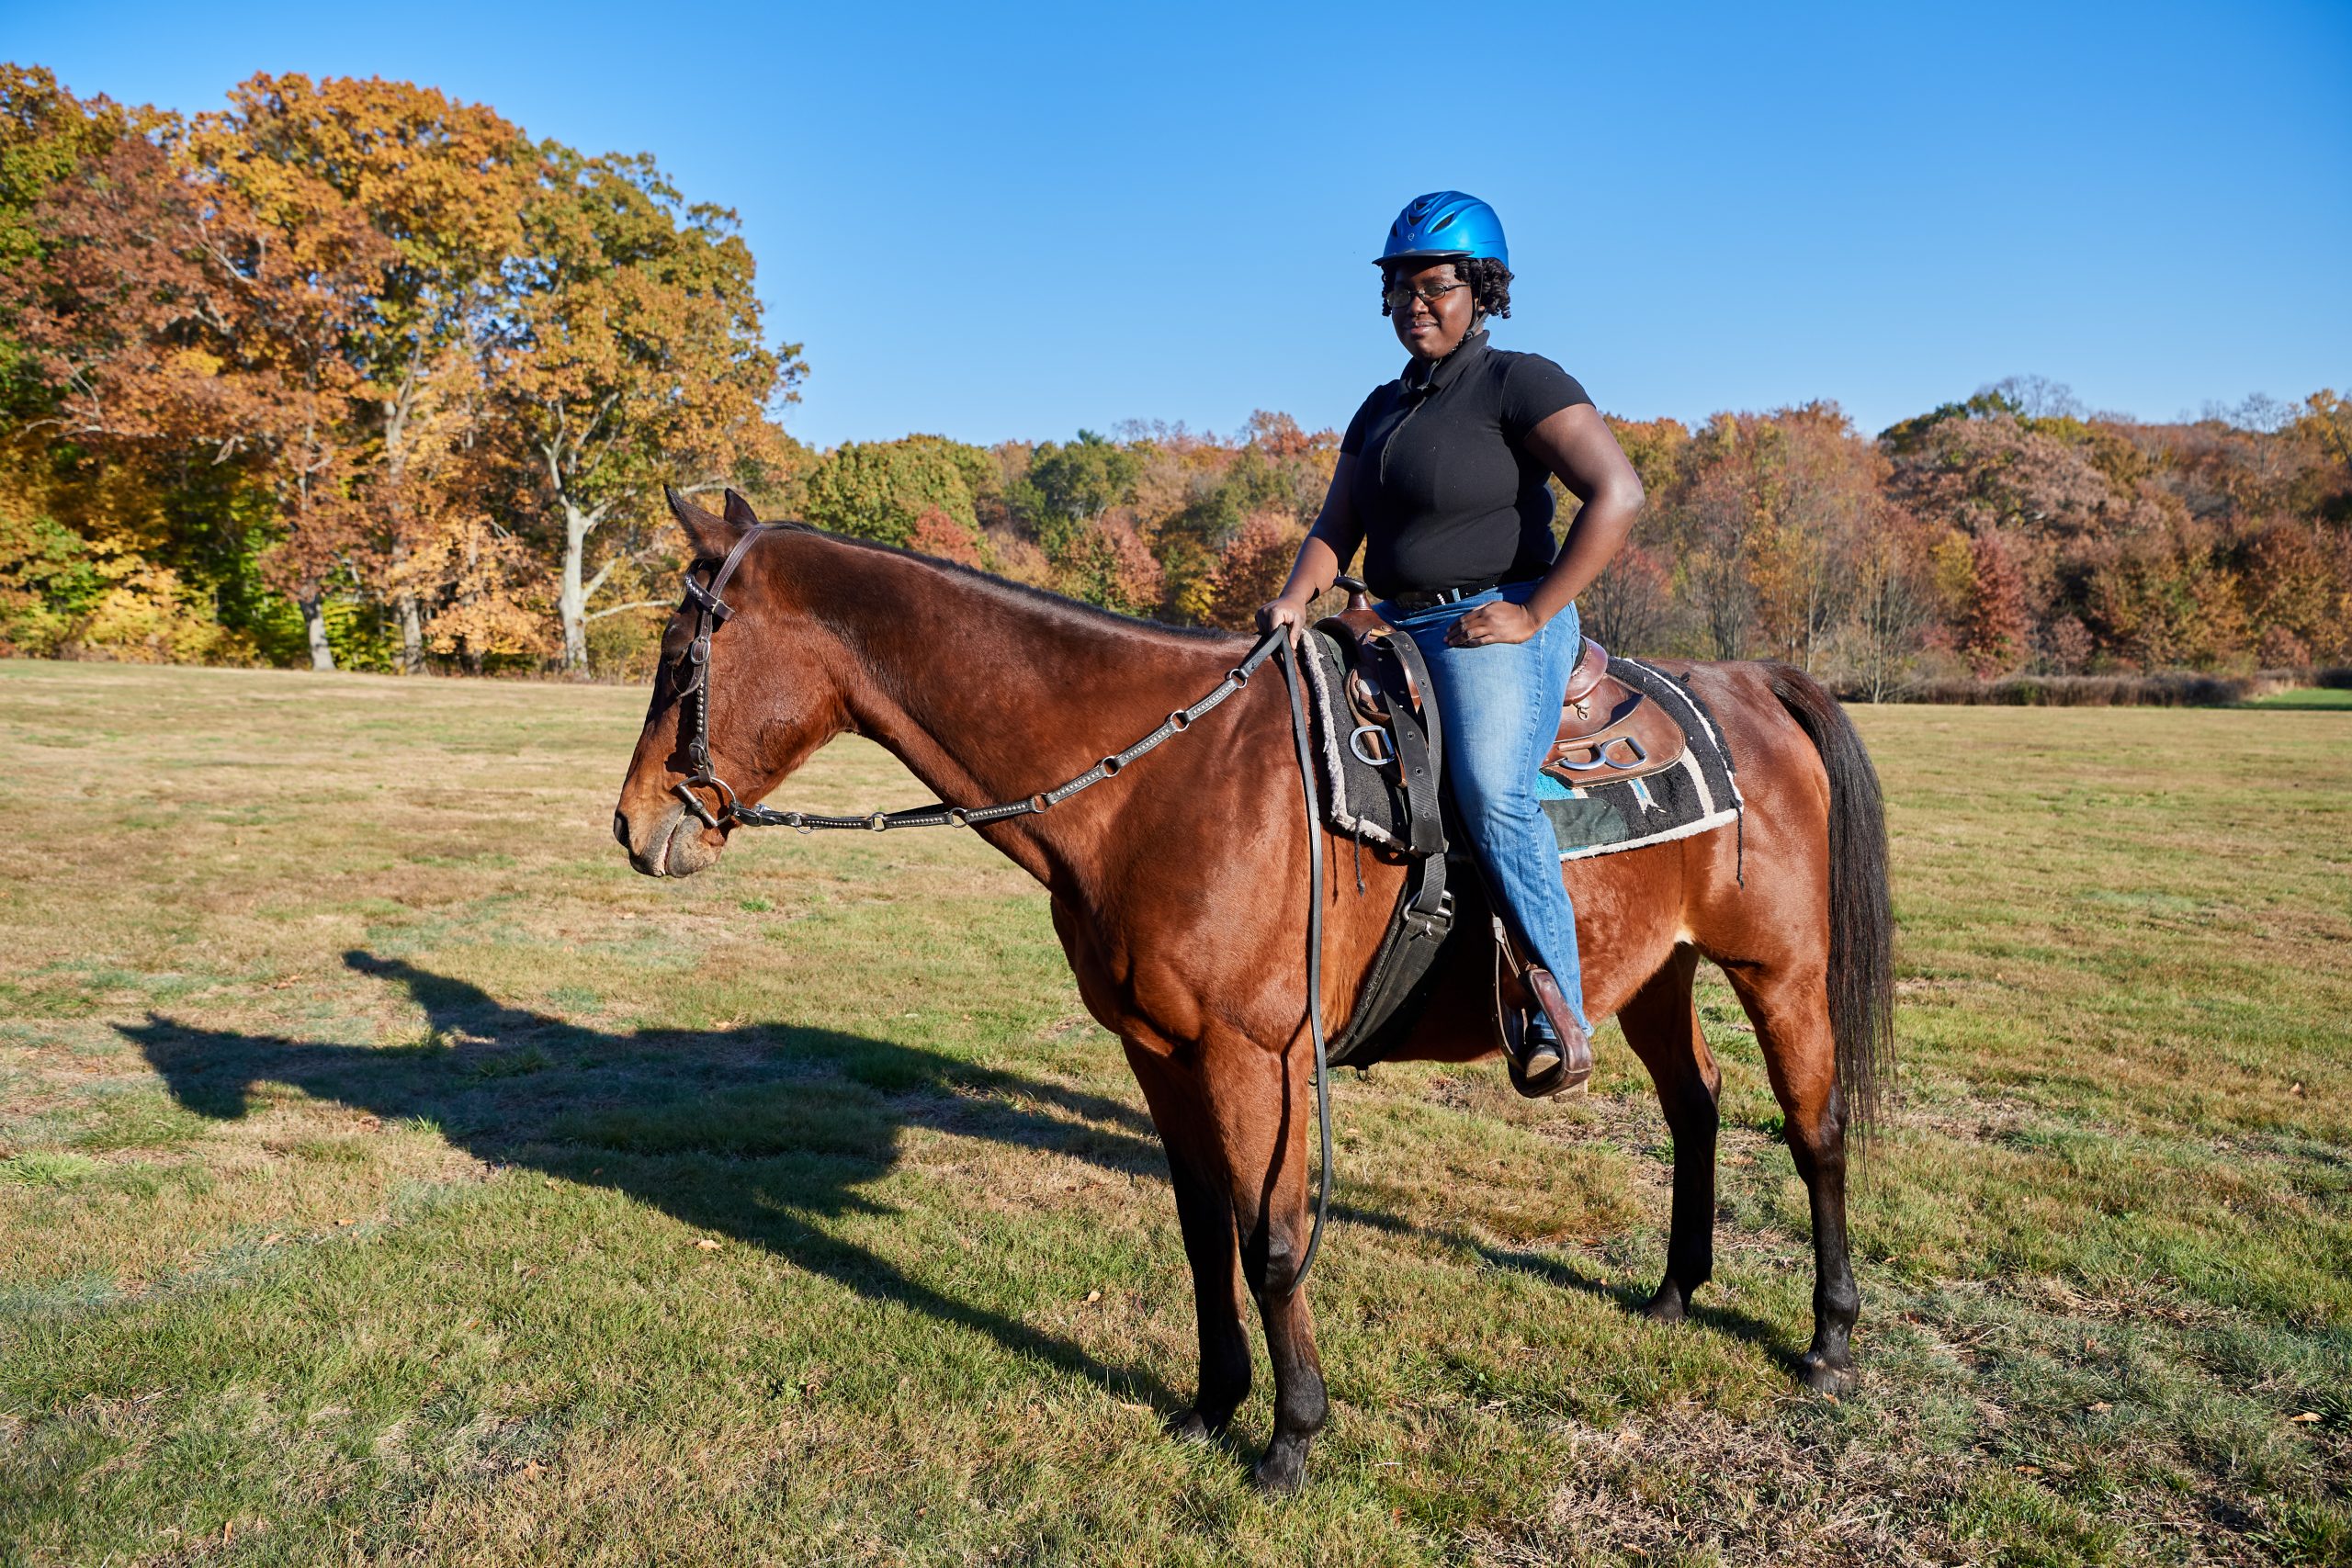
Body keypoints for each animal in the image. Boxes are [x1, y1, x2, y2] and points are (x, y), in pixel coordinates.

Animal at [611, 493, 1891, 1495]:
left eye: (680, 660)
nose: (633, 825)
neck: (1155, 780)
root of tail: (1748, 684)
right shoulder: (1157, 1051)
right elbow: (1201, 1231)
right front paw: (1211, 1403)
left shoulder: (1255, 1055)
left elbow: (1272, 1240)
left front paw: (1291, 1438)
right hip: (1653, 970)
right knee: (1695, 1106)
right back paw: (1676, 1291)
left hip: (1779, 969)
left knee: (1813, 1127)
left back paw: (1829, 1338)